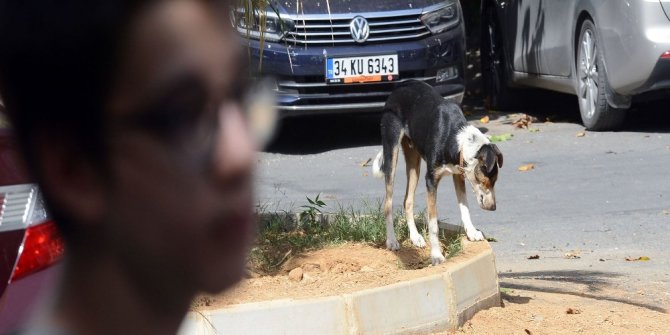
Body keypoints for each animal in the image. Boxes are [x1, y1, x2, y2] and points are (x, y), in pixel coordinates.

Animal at [372, 80, 504, 266]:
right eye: (487, 180)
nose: (493, 208)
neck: (455, 138)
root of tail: (400, 86)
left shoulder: (458, 175)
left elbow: (464, 208)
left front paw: (471, 232)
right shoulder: (431, 180)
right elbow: (433, 224)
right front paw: (436, 255)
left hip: (414, 163)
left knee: (407, 200)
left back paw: (415, 237)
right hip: (392, 150)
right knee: (388, 202)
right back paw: (391, 241)